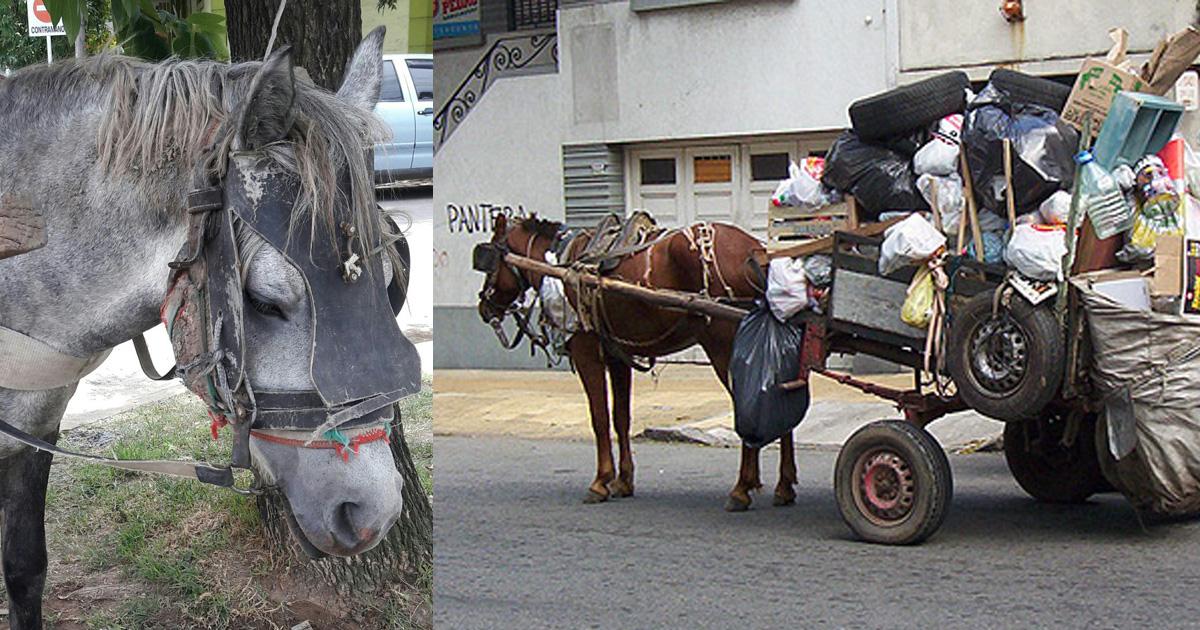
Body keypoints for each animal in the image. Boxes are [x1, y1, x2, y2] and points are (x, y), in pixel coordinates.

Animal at [475, 213, 796, 508]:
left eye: (487, 258)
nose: (483, 307)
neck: (560, 264)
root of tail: (757, 250)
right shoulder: (618, 357)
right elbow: (621, 418)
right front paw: (623, 481)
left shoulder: (586, 352)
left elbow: (599, 418)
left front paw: (601, 481)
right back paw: (783, 486)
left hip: (723, 346)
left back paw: (742, 488)